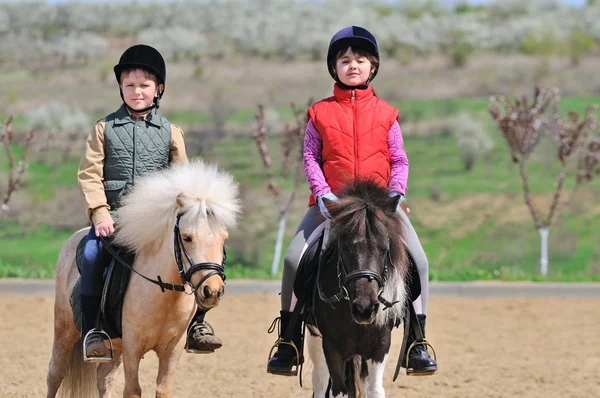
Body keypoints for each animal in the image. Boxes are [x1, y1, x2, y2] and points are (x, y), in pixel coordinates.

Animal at [46, 161, 241, 398]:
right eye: (187, 238)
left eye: (224, 238)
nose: (212, 291)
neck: (163, 292)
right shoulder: (133, 347)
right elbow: (132, 390)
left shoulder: (172, 350)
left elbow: (163, 389)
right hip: (64, 331)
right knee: (55, 374)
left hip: (114, 347)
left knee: (104, 380)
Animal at [304, 181, 408, 398]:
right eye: (344, 249)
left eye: (384, 249)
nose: (364, 309)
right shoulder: (332, 347)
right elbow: (338, 390)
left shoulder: (380, 346)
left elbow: (375, 390)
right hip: (315, 338)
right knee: (319, 380)